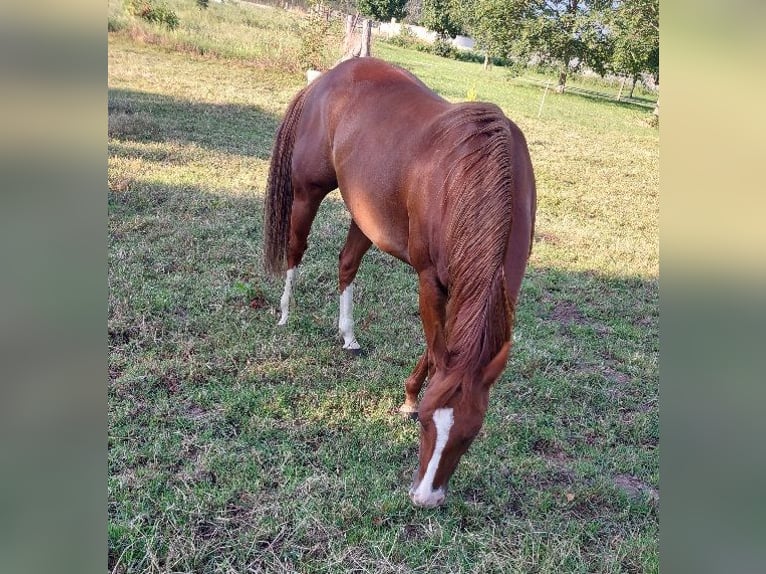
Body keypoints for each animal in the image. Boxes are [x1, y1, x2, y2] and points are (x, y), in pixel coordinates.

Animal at [263, 57, 536, 507]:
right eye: (426, 422)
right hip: (307, 191)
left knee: (346, 265)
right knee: (294, 250)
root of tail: (329, 76)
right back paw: (285, 313)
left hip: (364, 212)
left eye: (472, 434)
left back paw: (349, 335)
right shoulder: (429, 280)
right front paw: (408, 399)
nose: (426, 498)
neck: (470, 178)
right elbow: (436, 348)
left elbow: (440, 349)